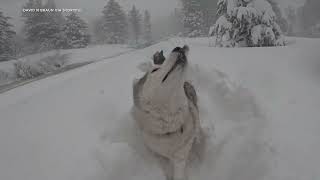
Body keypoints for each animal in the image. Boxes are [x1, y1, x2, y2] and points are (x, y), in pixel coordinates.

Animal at [132, 45, 200, 179]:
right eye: (154, 70)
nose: (178, 47)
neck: (169, 129)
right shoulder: (157, 153)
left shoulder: (180, 157)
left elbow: (178, 174)